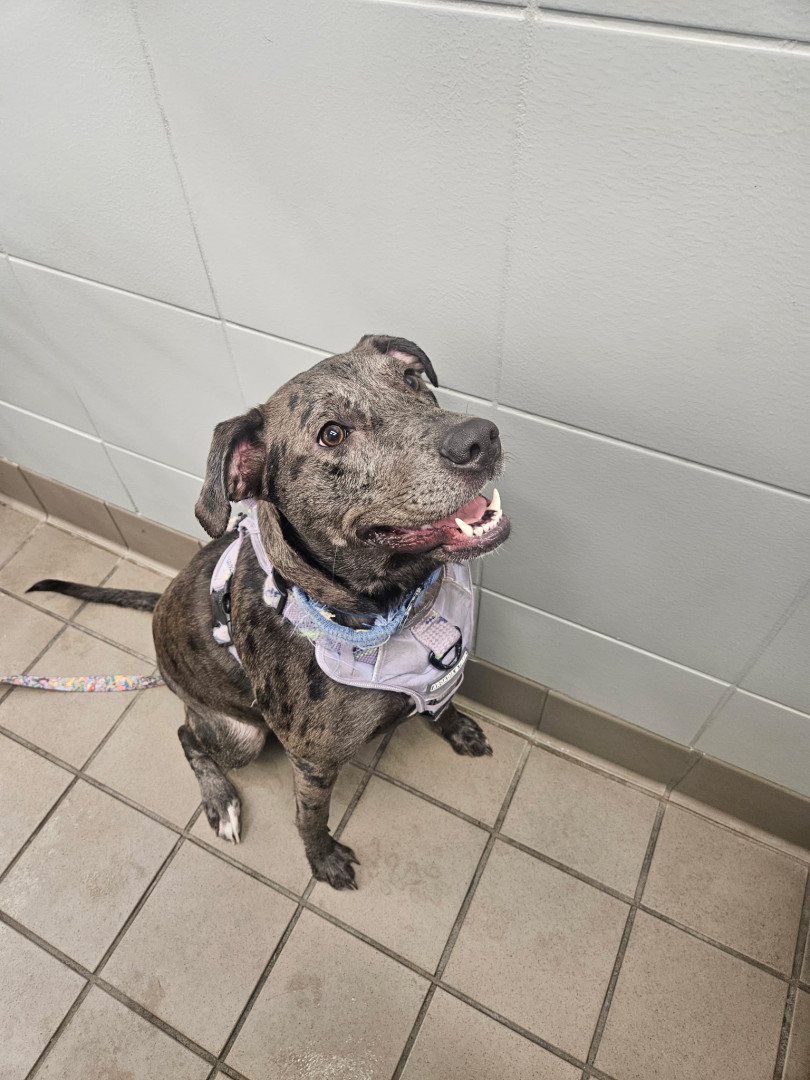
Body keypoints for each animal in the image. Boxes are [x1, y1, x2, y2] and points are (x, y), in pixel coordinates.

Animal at [29, 335, 510, 889]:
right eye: (332, 434)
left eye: (411, 381)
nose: (481, 437)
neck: (396, 608)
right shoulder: (311, 761)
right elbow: (310, 815)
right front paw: (321, 858)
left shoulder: (435, 678)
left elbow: (442, 702)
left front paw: (456, 727)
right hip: (243, 735)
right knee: (186, 733)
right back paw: (221, 801)